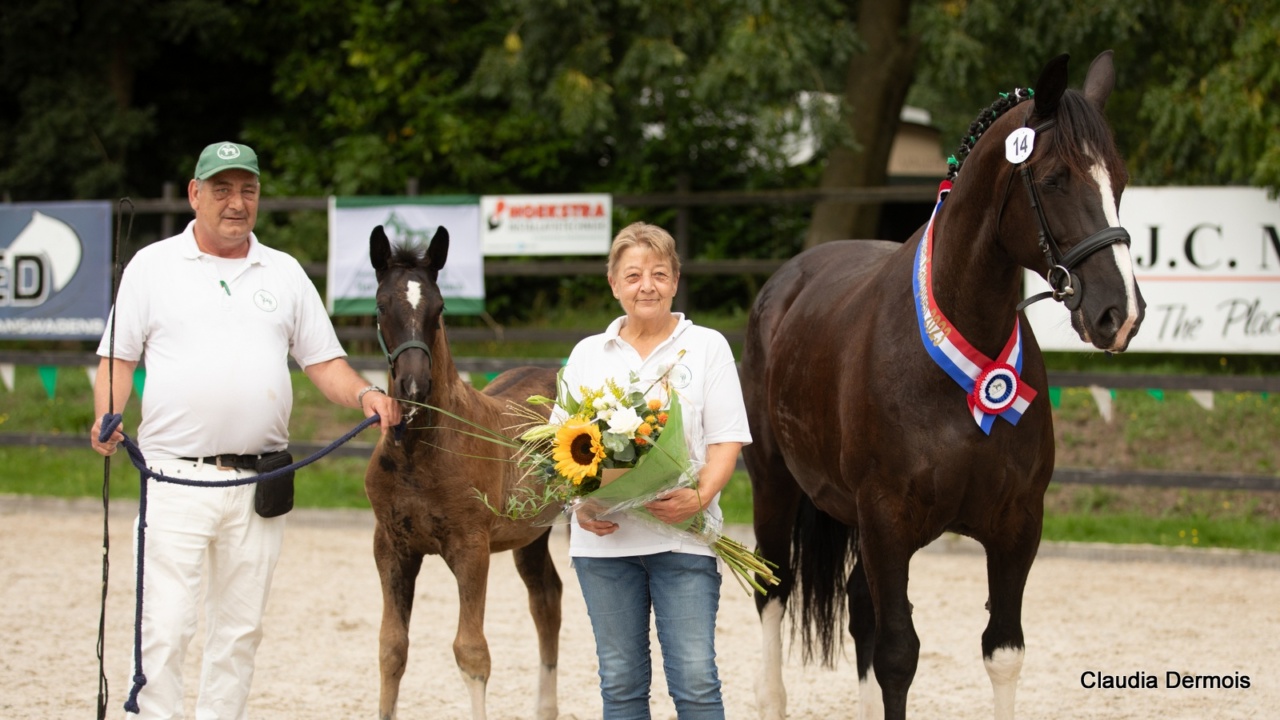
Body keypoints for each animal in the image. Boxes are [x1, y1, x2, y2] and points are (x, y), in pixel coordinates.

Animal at [360, 224, 560, 717]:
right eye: (381, 306)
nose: (414, 386)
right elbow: (391, 648)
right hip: (532, 533)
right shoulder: (390, 547)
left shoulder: (471, 548)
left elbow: (471, 652)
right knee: (546, 599)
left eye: (439, 308)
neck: (420, 451)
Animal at [742, 51, 1152, 717]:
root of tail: (785, 284)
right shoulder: (888, 524)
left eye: (1117, 180)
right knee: (773, 592)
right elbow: (897, 656)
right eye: (1055, 178)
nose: (1120, 314)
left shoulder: (1016, 526)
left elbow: (1002, 651)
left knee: (858, 607)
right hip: (775, 487)